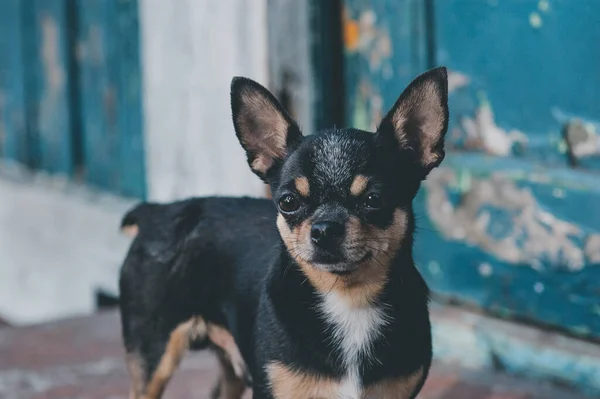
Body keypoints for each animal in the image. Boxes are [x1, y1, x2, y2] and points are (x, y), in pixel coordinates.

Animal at [118, 67, 446, 398]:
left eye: (374, 199)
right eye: (288, 202)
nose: (324, 229)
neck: (348, 299)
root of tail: (156, 211)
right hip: (153, 360)